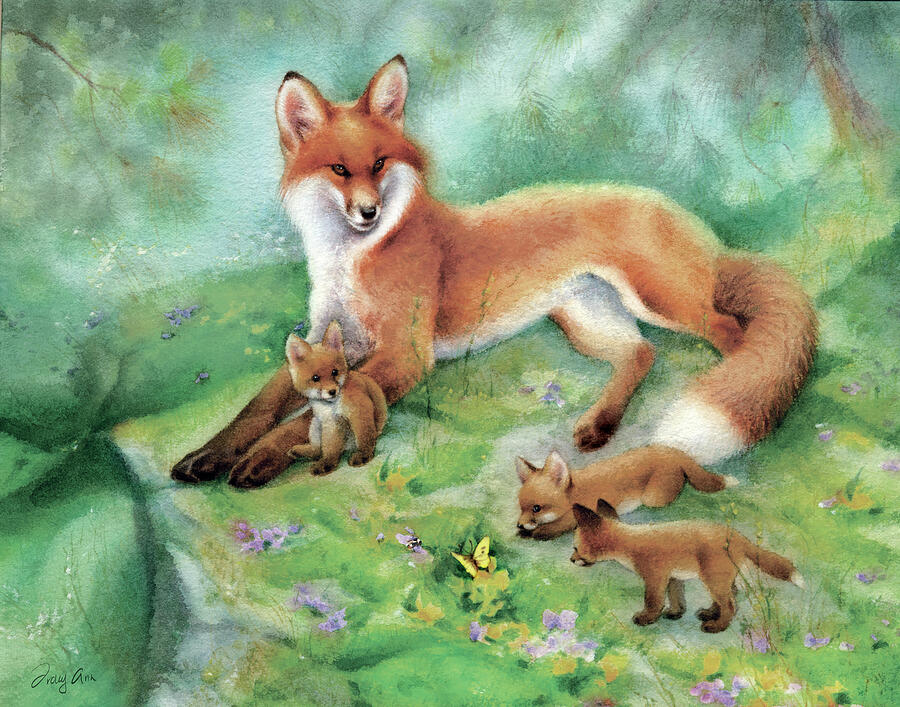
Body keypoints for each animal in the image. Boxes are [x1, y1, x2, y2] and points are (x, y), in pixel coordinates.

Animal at [285, 321, 387, 476]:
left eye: (334, 372)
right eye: (315, 378)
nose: (332, 391)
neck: (332, 406)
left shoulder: (360, 410)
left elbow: (364, 436)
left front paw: (363, 455)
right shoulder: (331, 423)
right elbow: (330, 449)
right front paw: (327, 464)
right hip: (315, 424)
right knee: (317, 450)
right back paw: (300, 452)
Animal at [516, 446, 738, 539]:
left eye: (537, 508)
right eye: (521, 508)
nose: (518, 524)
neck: (574, 494)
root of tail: (672, 451)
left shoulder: (574, 516)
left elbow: (554, 527)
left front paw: (536, 532)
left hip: (652, 498)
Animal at [570, 502, 805, 633]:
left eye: (575, 547)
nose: (571, 560)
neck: (629, 542)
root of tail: (737, 536)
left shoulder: (655, 577)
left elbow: (653, 601)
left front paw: (646, 618)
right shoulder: (673, 578)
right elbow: (676, 599)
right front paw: (675, 613)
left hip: (713, 578)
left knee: (730, 605)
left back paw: (716, 626)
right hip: (724, 578)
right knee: (731, 597)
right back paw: (710, 613)